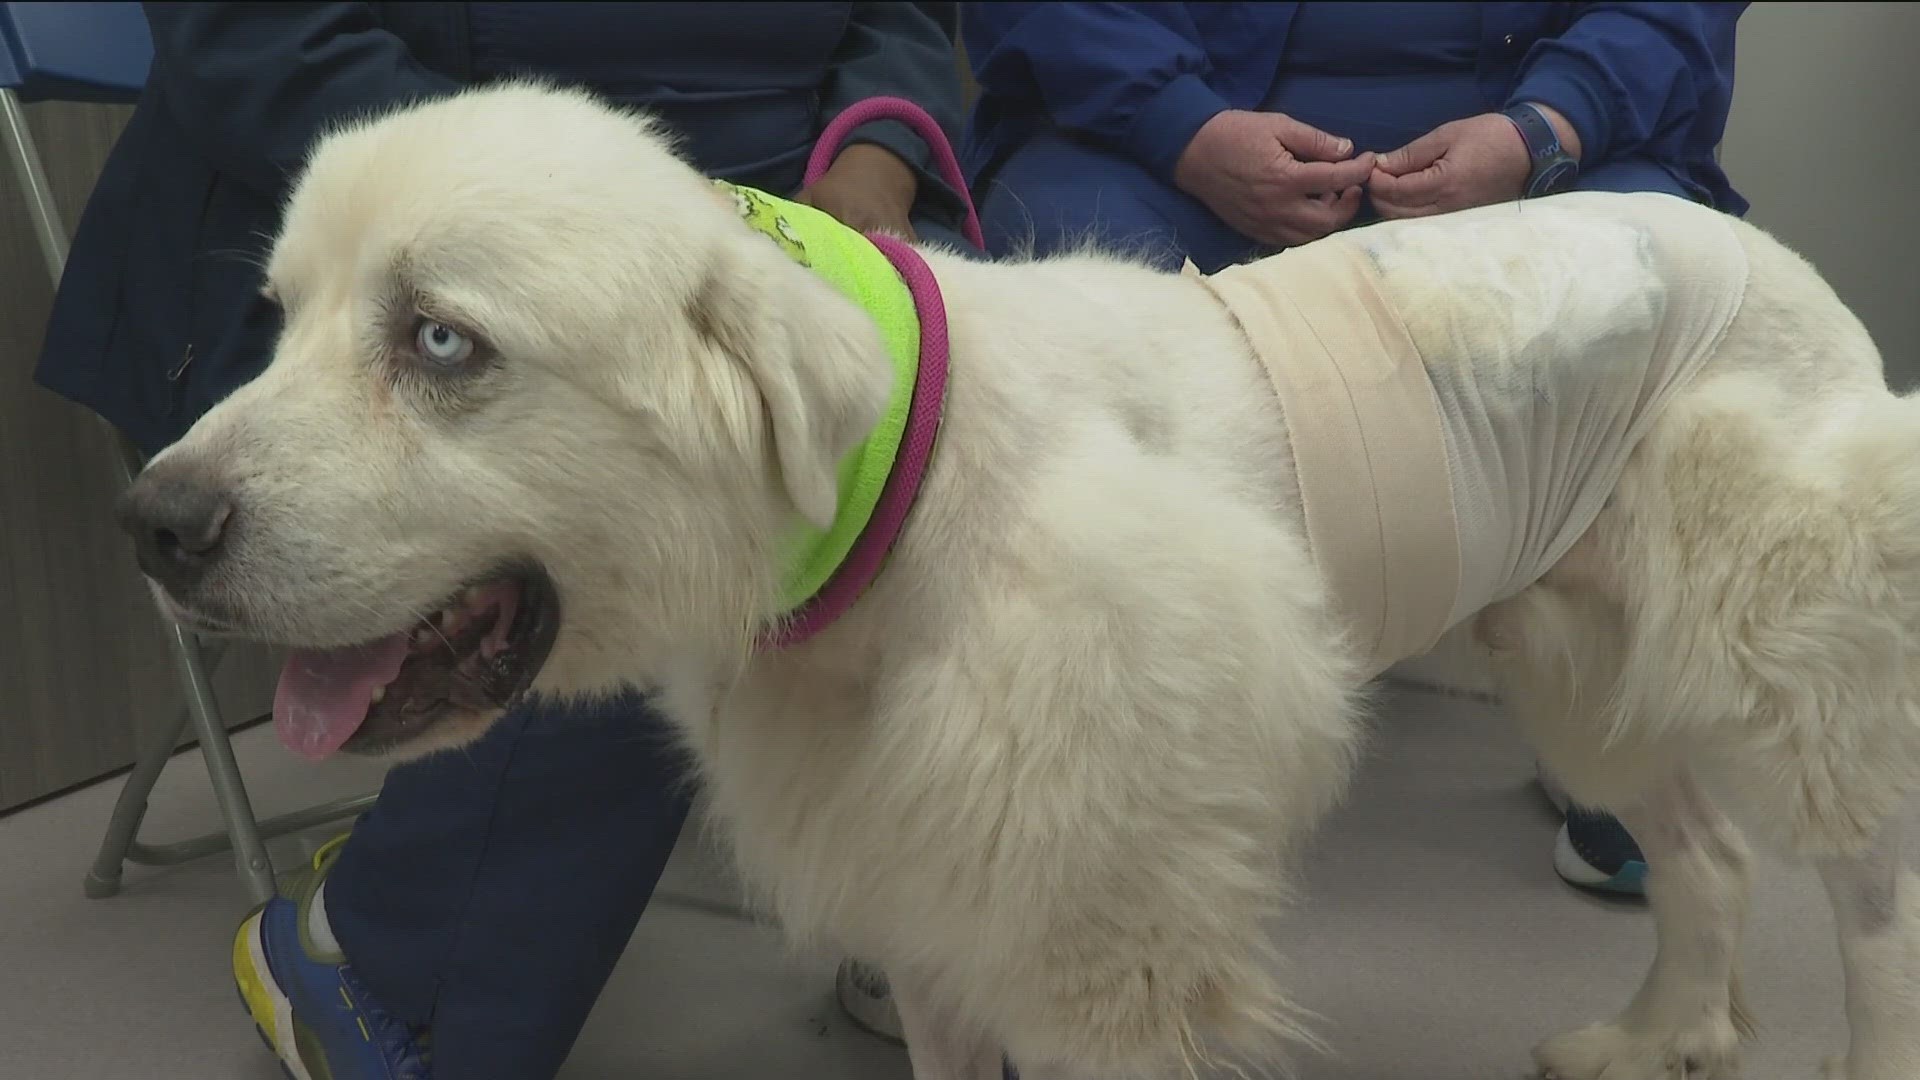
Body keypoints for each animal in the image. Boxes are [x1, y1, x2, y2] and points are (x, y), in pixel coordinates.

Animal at [127, 85, 1920, 1076]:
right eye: (281, 319)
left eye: (442, 342)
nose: (152, 520)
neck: (898, 501)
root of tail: (1764, 248)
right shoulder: (936, 914)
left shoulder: (1103, 950)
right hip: (1578, 664)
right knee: (1707, 865)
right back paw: (1655, 1036)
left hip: (1791, 668)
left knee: (1865, 900)